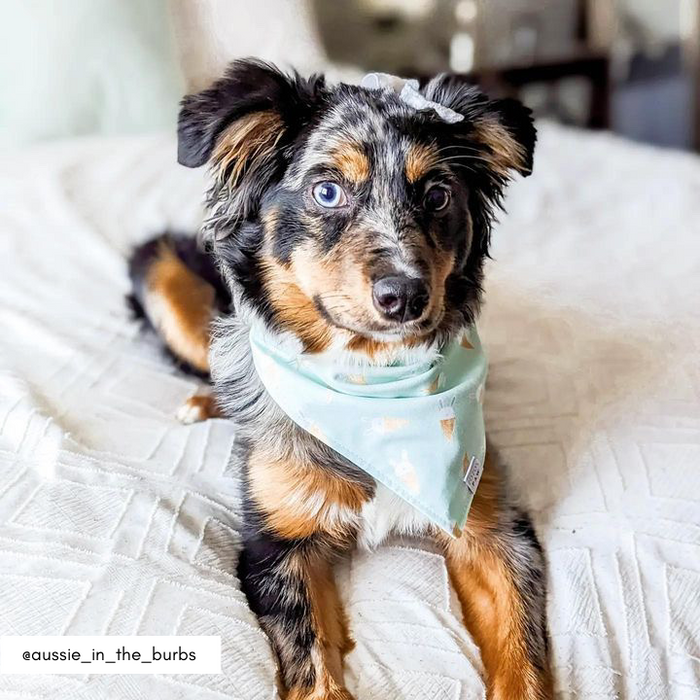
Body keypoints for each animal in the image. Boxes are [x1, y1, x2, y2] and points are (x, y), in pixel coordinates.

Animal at [127, 61, 552, 700]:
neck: (372, 389)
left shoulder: (495, 530)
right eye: (327, 191)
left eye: (437, 195)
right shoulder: (277, 547)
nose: (405, 296)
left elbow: (524, 661)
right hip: (160, 269)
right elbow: (313, 670)